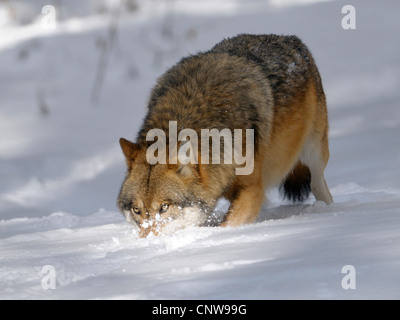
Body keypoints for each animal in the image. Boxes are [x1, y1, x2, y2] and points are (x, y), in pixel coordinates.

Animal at [117, 34, 332, 238]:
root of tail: (291, 40)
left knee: (318, 185)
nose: (147, 241)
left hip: (314, 155)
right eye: (136, 210)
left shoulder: (252, 189)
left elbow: (227, 225)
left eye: (164, 207)